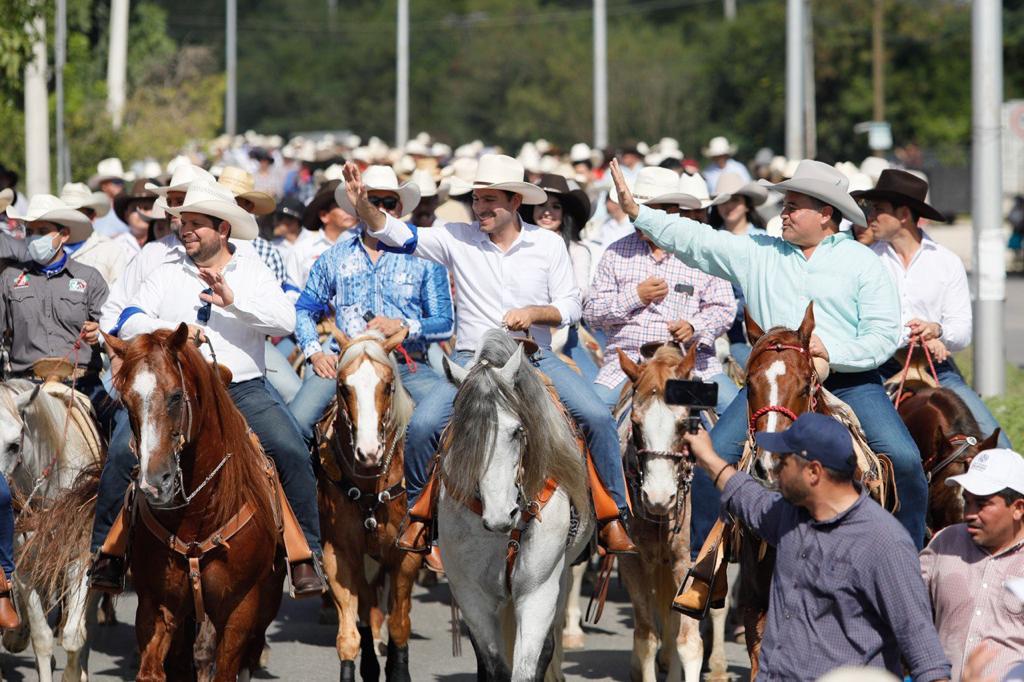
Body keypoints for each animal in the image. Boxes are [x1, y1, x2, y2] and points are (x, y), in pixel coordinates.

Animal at [0, 378, 103, 682]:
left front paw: (73, 674)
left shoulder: (80, 562)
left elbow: (73, 636)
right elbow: (43, 638)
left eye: (14, 445)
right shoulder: (24, 570)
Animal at [103, 324, 285, 681]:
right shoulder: (158, 605)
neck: (199, 515)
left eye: (176, 396)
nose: (155, 483)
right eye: (127, 402)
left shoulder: (239, 611)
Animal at [315, 329, 421, 682]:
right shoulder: (339, 554)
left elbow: (400, 624)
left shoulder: (405, 557)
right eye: (343, 386)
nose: (369, 452)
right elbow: (349, 636)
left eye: (387, 385)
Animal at [438, 330, 593, 682]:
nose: (501, 515)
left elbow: (528, 665)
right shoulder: (470, 594)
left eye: (517, 430)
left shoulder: (538, 591)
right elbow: (493, 665)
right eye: (465, 434)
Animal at [616, 343, 729, 682]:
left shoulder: (690, 561)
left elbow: (689, 643)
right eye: (636, 423)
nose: (658, 497)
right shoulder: (632, 562)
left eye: (683, 424)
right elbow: (646, 638)